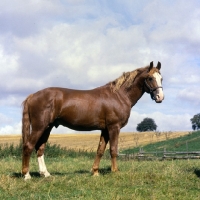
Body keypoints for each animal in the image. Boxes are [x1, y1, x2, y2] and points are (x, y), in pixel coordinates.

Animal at [21, 61, 164, 180]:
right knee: (29, 146)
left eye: (161, 78)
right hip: (39, 127)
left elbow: (100, 150)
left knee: (40, 148)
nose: (160, 97)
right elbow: (113, 149)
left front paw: (95, 171)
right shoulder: (114, 127)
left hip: (47, 127)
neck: (119, 95)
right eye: (150, 78)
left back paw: (45, 173)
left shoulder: (105, 130)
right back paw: (26, 175)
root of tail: (32, 95)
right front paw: (115, 171)